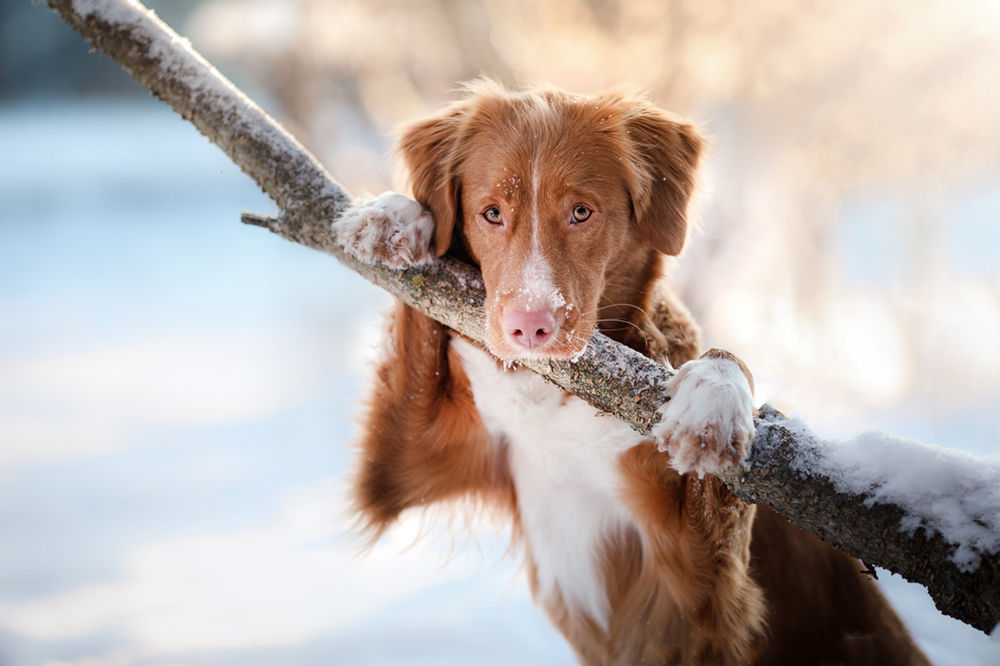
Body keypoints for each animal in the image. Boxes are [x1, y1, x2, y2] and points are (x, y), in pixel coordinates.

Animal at [336, 81, 928, 664]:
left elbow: (724, 381)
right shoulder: (412, 461)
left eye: (581, 212)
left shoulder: (701, 597)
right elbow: (414, 328)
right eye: (491, 213)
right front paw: (396, 217)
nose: (529, 327)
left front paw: (712, 404)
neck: (554, 395)